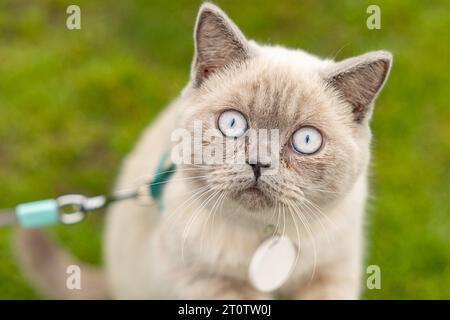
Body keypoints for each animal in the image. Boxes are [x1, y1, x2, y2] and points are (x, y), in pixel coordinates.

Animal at [16, 1, 390, 298]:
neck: (261, 237)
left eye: (306, 141)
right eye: (233, 123)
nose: (259, 163)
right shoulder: (207, 283)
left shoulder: (332, 273)